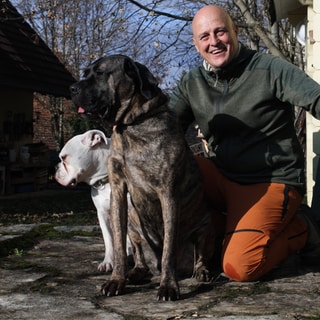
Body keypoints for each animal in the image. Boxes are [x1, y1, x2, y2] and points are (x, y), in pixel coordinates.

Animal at [70, 53, 215, 302]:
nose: (72, 88)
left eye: (100, 73)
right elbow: (119, 246)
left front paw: (168, 286)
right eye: (85, 73)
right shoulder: (119, 190)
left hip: (205, 224)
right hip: (134, 224)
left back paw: (201, 271)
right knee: (140, 258)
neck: (131, 125)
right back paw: (135, 273)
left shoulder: (167, 193)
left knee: (198, 254)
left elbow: (168, 249)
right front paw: (116, 281)